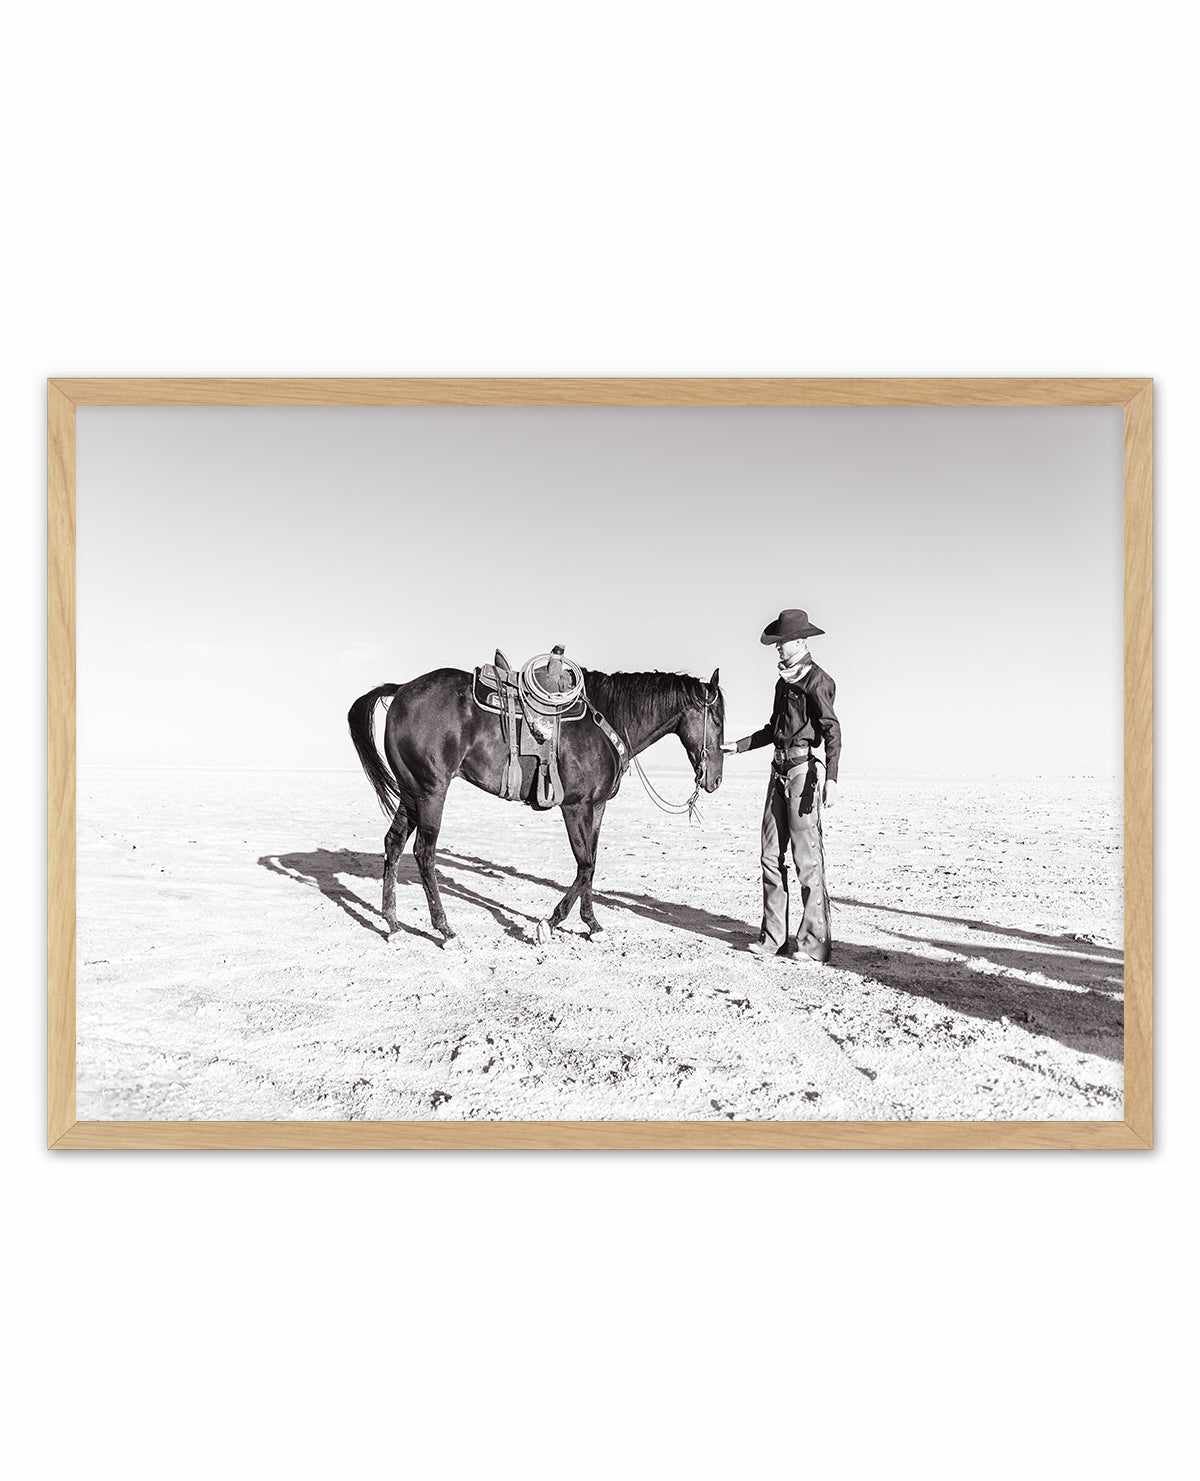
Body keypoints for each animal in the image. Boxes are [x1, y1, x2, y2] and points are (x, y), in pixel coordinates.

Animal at [348, 666, 724, 946]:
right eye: (717, 720)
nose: (716, 779)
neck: (606, 720)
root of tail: (401, 690)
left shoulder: (597, 806)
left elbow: (592, 864)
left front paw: (592, 924)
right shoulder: (575, 806)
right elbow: (584, 864)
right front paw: (550, 923)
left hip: (411, 792)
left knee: (394, 844)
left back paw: (393, 924)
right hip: (431, 792)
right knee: (424, 852)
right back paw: (445, 930)